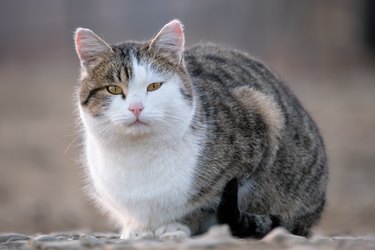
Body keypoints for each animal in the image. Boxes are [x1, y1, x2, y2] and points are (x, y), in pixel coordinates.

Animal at [72, 20, 326, 240]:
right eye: (114, 89)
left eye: (154, 86)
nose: (136, 107)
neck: (138, 153)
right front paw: (137, 228)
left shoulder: (260, 119)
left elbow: (206, 203)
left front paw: (177, 224)